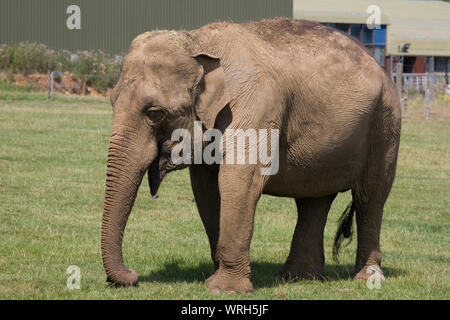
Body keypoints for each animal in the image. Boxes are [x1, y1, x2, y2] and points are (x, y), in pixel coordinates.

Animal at [101, 16, 400, 292]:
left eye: (154, 113)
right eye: (112, 101)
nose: (132, 275)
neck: (197, 41)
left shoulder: (255, 106)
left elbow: (240, 181)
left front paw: (224, 289)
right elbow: (206, 188)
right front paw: (215, 278)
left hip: (385, 124)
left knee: (370, 196)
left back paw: (367, 278)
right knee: (313, 200)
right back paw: (298, 277)